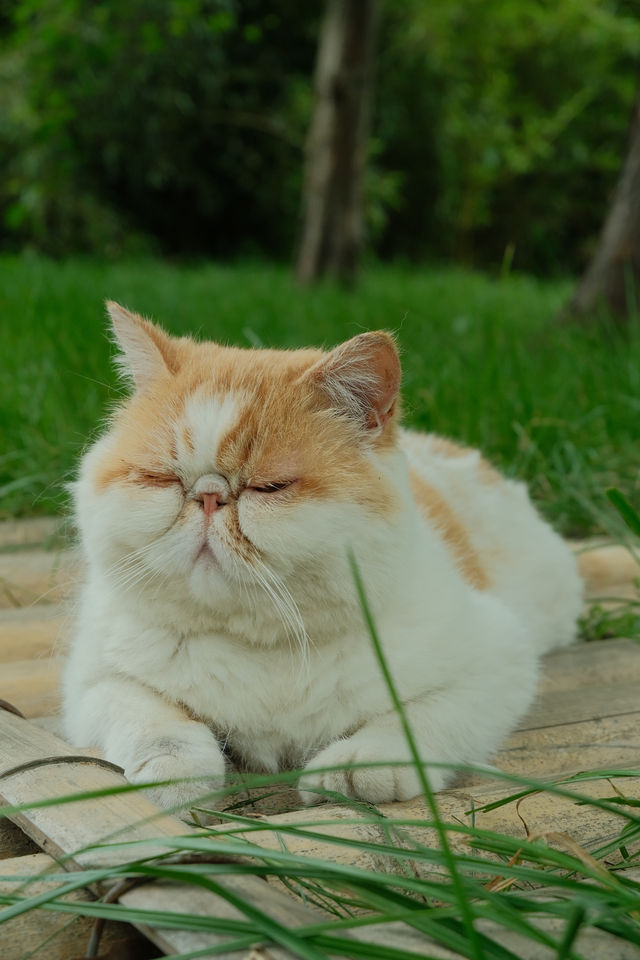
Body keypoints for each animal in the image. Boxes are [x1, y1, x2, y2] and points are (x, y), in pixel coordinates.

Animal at [62, 304, 584, 812]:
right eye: (161, 478)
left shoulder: (498, 660)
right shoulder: (93, 680)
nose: (209, 496)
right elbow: (151, 716)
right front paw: (174, 770)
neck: (262, 646)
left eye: (270, 487)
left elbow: (415, 718)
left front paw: (359, 763)